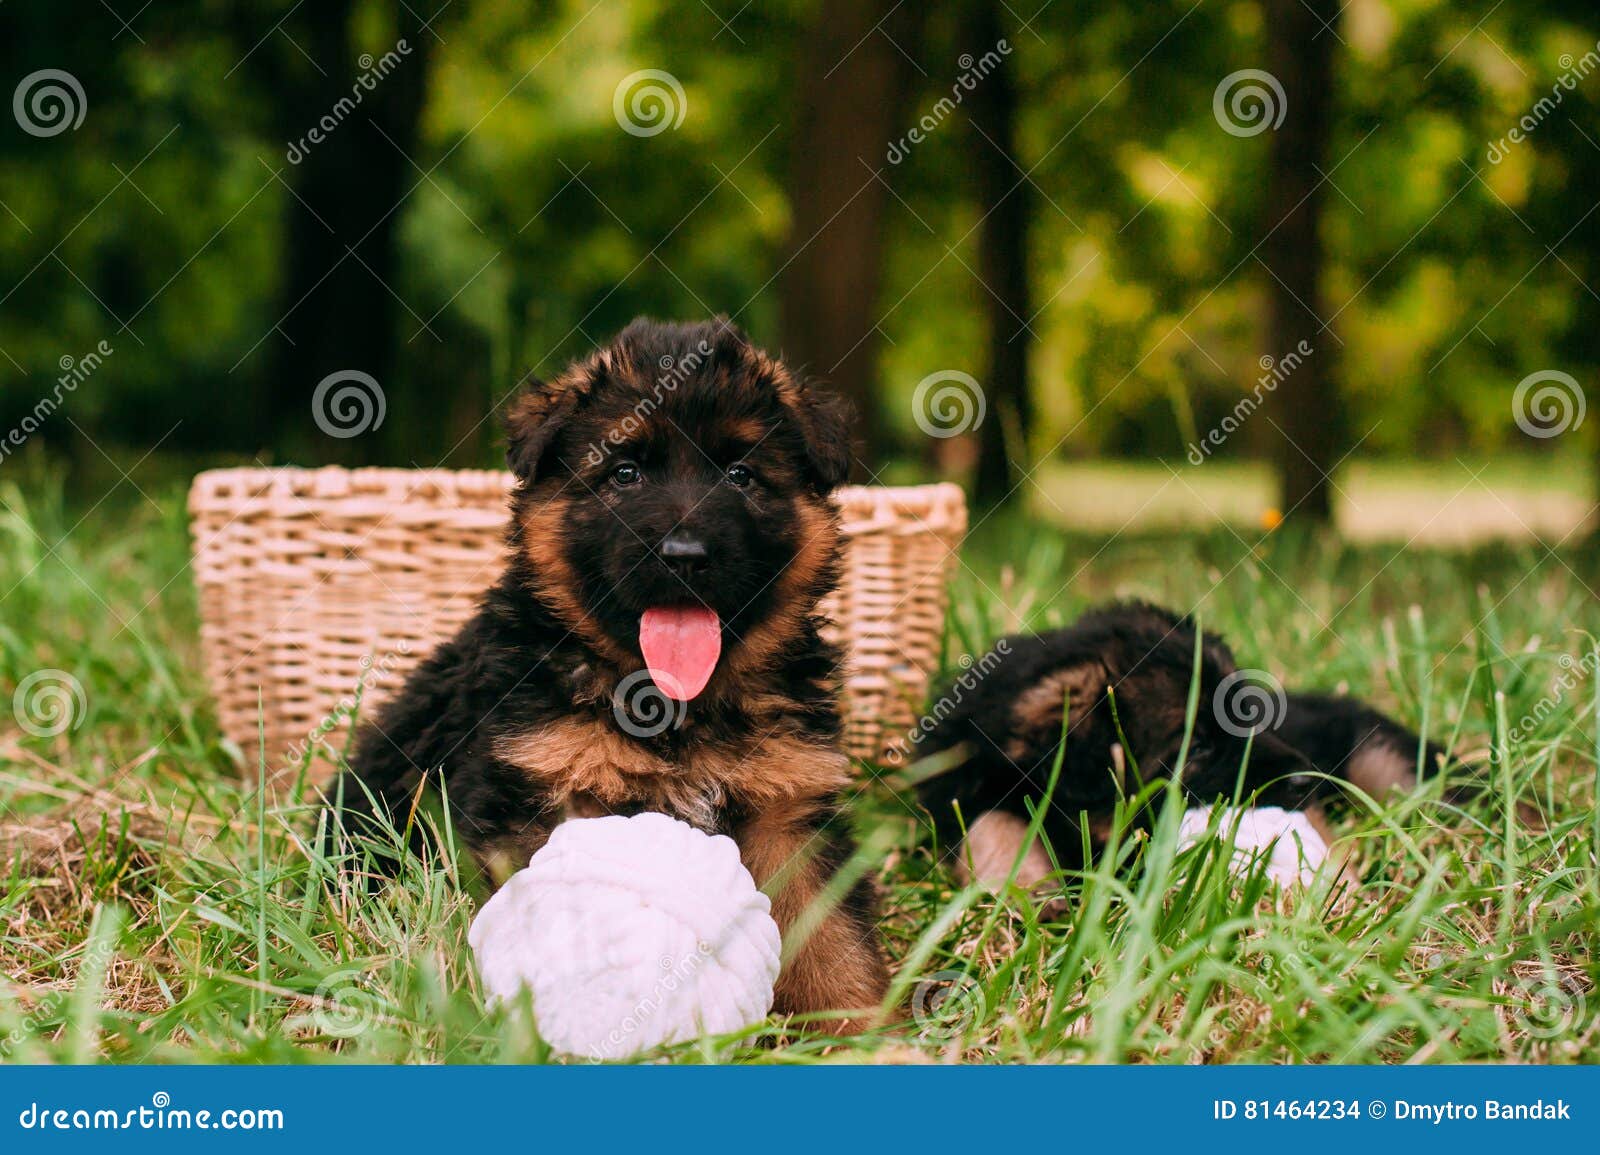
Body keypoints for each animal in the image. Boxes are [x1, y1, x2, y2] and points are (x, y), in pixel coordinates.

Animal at [331, 315, 896, 1023]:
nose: (685, 555)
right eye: (625, 472)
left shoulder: (788, 807)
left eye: (741, 474)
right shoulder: (545, 794)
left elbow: (830, 934)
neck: (672, 704)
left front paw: (862, 1025)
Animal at [915, 598, 1452, 895]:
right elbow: (991, 824)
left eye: (1249, 715)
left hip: (1383, 761)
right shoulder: (960, 791)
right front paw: (1023, 886)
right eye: (1196, 749)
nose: (1309, 779)